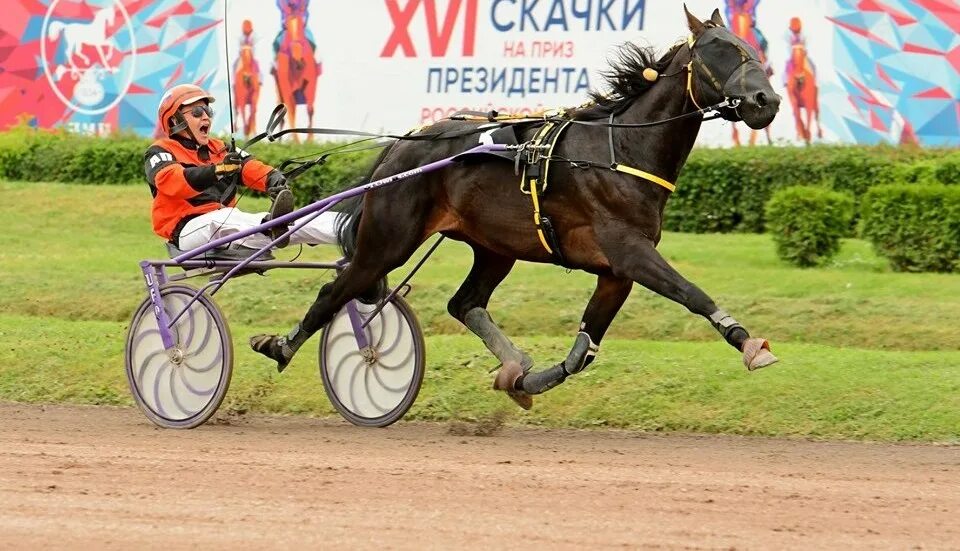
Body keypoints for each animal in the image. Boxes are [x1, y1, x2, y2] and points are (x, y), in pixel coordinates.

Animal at [268, 1, 320, 142]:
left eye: (303, 26)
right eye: (286, 27)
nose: (299, 60)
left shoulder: (311, 83)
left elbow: (310, 109)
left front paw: (310, 140)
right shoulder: (285, 88)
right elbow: (290, 112)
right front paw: (296, 141)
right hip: (279, 90)